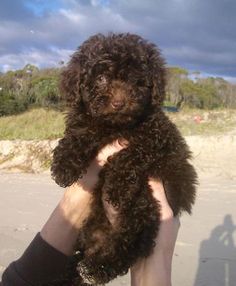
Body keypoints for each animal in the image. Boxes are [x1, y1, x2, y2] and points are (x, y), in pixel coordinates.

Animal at [50, 32, 197, 284]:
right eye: (101, 79)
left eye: (136, 80)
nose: (119, 103)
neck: (115, 126)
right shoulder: (88, 122)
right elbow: (79, 134)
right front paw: (64, 165)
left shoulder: (158, 138)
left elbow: (129, 155)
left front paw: (117, 188)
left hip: (144, 207)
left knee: (132, 242)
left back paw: (97, 268)